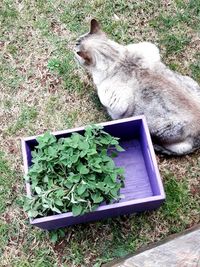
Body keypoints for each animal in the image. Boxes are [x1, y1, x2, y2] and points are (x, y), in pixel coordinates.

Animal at [74, 18, 200, 156]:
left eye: (75, 52)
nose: (72, 47)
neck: (116, 59)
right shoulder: (149, 48)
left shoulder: (117, 103)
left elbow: (113, 113)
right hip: (192, 82)